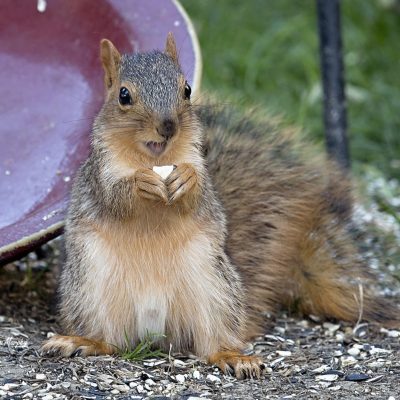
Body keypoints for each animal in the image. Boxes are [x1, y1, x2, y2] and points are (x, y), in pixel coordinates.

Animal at [42, 32, 398, 378]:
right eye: (124, 95)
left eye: (186, 89)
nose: (168, 126)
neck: (153, 158)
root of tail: (154, 331)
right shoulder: (98, 176)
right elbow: (115, 197)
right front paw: (141, 183)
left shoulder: (203, 173)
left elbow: (200, 195)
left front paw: (186, 179)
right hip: (91, 286)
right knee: (110, 340)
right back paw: (82, 341)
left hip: (212, 285)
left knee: (211, 342)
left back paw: (234, 357)